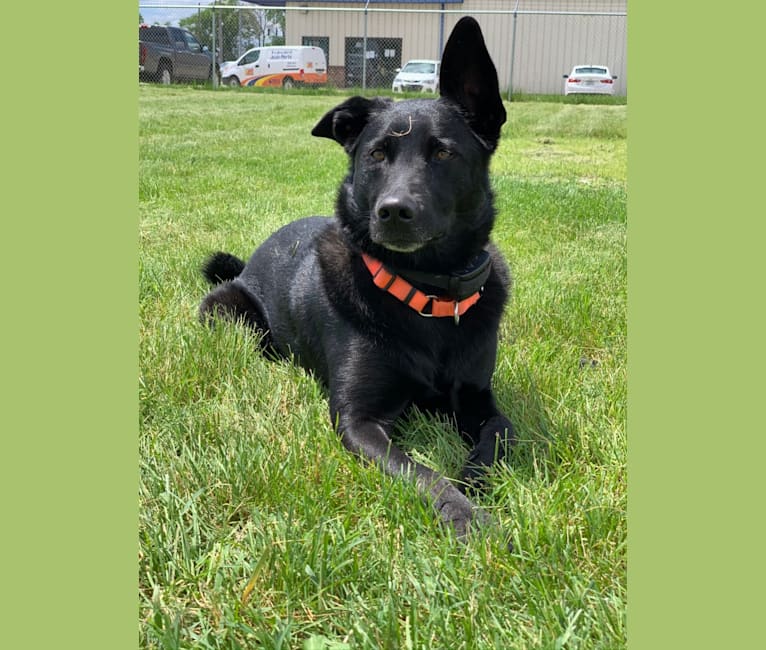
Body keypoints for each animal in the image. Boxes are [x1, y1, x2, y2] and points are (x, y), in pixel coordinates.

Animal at [202, 16, 516, 540]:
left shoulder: (479, 397)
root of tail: (247, 261)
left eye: (443, 153)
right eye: (377, 154)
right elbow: (422, 473)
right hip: (226, 312)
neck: (425, 292)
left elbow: (499, 433)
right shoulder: (359, 420)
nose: (393, 211)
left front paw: (473, 482)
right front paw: (465, 514)